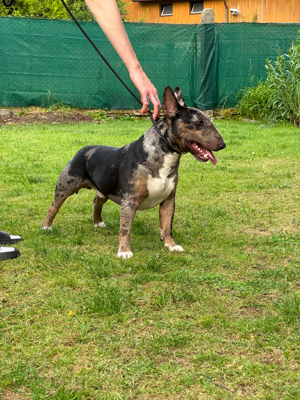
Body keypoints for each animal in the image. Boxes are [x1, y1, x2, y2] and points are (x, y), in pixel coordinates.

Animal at [42, 86, 225, 258]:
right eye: (199, 122)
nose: (223, 144)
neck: (162, 153)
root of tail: (83, 149)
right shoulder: (129, 200)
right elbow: (125, 228)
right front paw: (124, 251)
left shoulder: (169, 200)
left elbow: (167, 226)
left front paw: (171, 245)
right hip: (66, 185)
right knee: (54, 206)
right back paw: (46, 227)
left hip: (104, 188)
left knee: (97, 201)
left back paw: (98, 222)